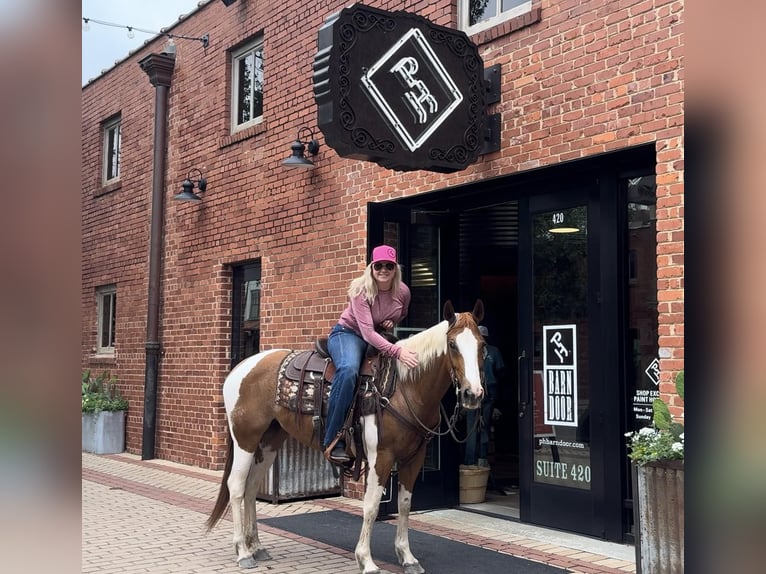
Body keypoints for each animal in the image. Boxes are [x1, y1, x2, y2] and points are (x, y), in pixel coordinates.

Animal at [206, 302, 486, 574]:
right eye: (452, 345)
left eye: (482, 345)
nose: (473, 394)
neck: (403, 386)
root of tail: (239, 369)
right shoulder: (381, 456)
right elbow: (371, 505)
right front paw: (366, 561)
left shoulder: (414, 458)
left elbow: (405, 505)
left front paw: (407, 558)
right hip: (245, 439)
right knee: (237, 486)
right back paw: (243, 552)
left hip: (269, 441)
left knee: (252, 487)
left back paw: (256, 547)